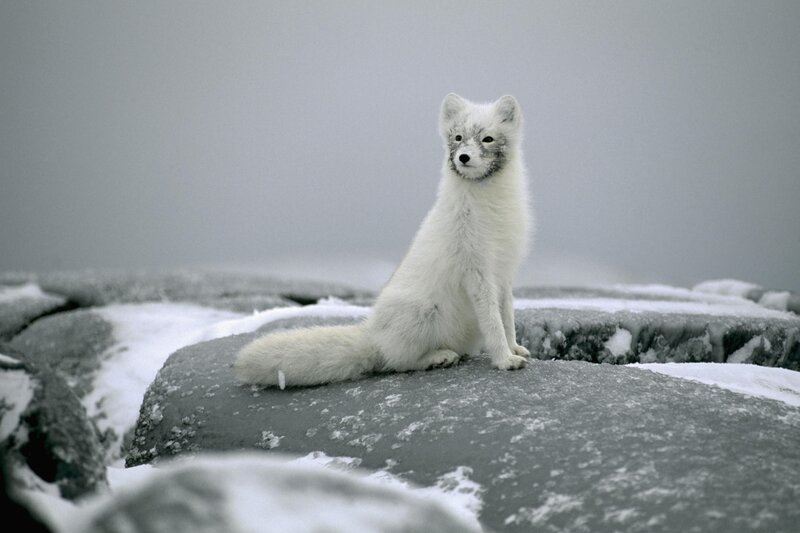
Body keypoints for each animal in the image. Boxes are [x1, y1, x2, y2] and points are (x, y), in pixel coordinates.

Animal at [235, 93, 532, 387]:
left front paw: (514, 348)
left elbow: (507, 317)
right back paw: (438, 357)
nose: (463, 157)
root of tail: (372, 334)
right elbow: (493, 322)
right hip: (422, 313)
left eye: (487, 139)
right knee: (397, 362)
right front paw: (505, 359)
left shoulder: (503, 272)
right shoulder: (476, 271)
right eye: (458, 137)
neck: (490, 206)